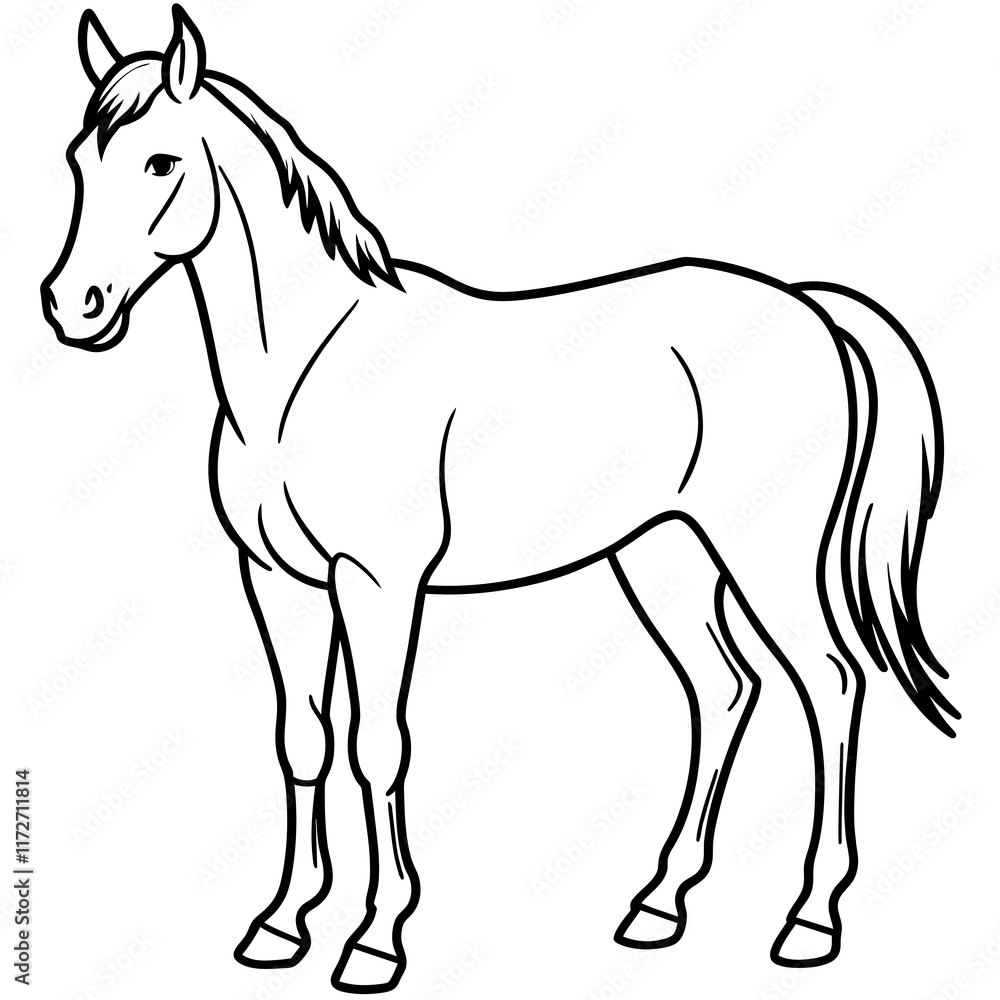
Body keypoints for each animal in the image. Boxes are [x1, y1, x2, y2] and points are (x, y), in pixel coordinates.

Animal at [42, 7, 958, 993]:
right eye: (78, 159)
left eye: (161, 162)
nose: (72, 305)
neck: (306, 371)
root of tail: (805, 305)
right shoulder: (280, 582)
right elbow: (305, 740)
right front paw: (284, 925)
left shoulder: (379, 584)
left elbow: (378, 745)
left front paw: (376, 939)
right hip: (664, 554)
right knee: (723, 692)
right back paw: (658, 905)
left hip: (766, 552)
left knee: (830, 685)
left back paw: (810, 920)